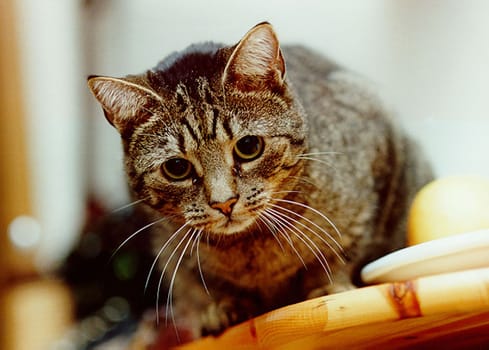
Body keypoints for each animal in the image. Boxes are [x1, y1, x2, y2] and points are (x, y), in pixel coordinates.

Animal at [87, 21, 430, 340]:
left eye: (248, 146)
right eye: (176, 168)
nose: (224, 202)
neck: (251, 250)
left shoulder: (372, 174)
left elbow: (341, 253)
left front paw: (330, 286)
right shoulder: (169, 247)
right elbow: (196, 285)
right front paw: (219, 307)